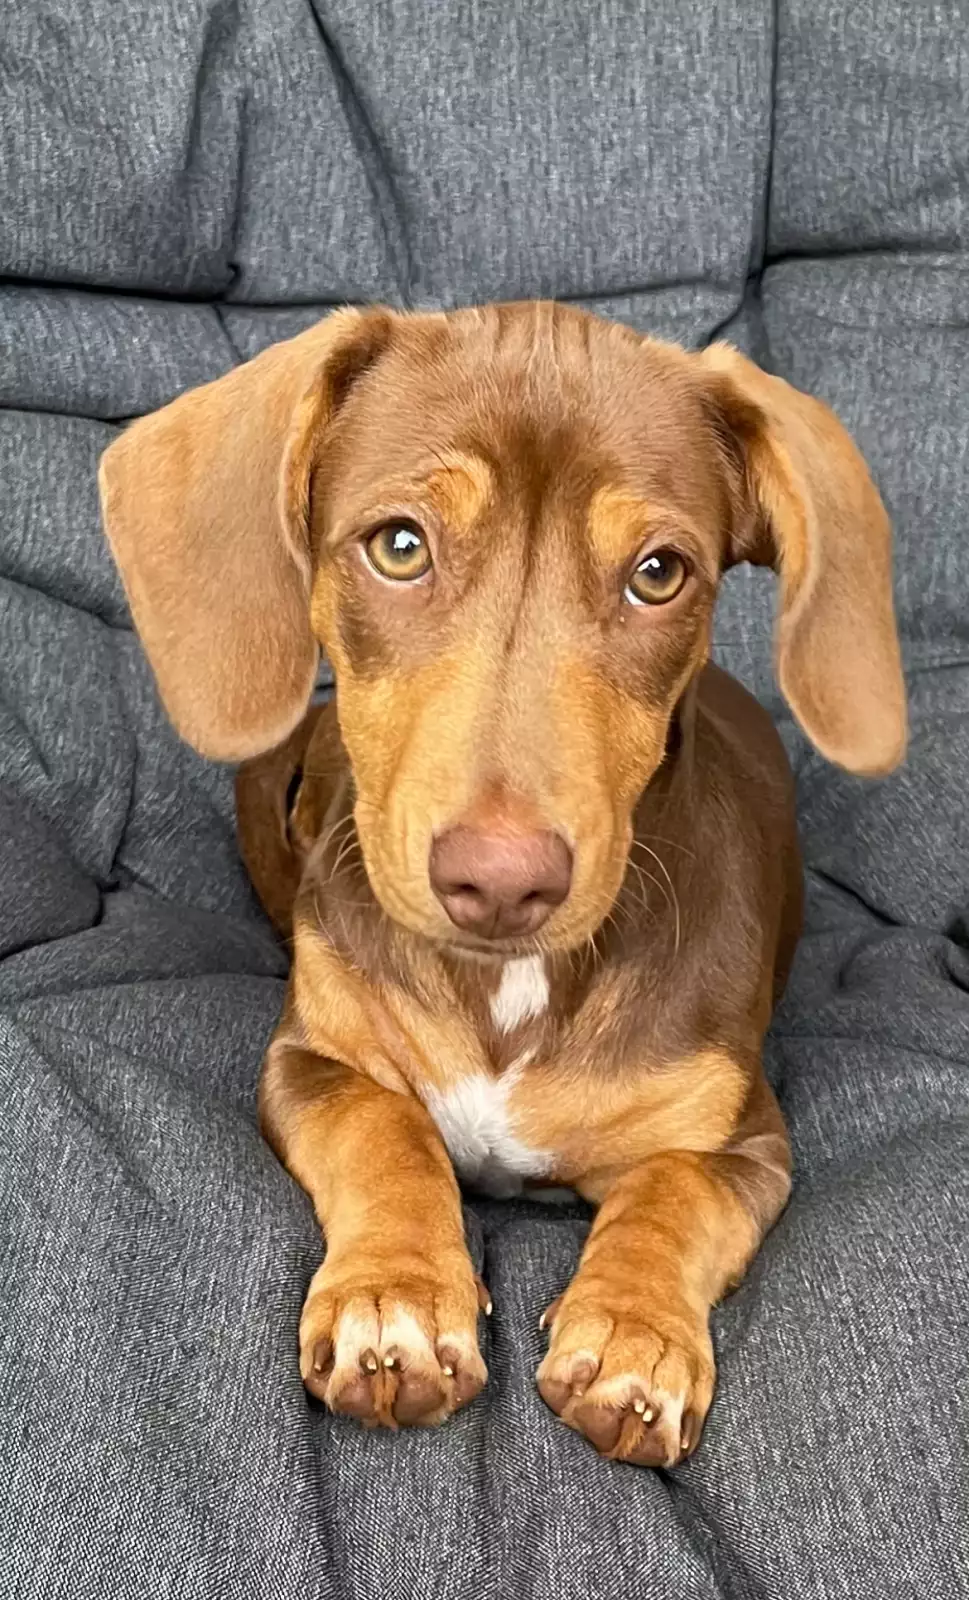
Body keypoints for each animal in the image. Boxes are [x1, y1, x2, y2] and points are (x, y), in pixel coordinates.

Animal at [99, 301, 906, 1467]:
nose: (499, 882)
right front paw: (394, 1300)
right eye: (399, 545)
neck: (508, 988)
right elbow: (381, 1126)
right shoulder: (309, 1062)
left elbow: (673, 1186)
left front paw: (635, 1336)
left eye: (659, 572)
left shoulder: (744, 1138)